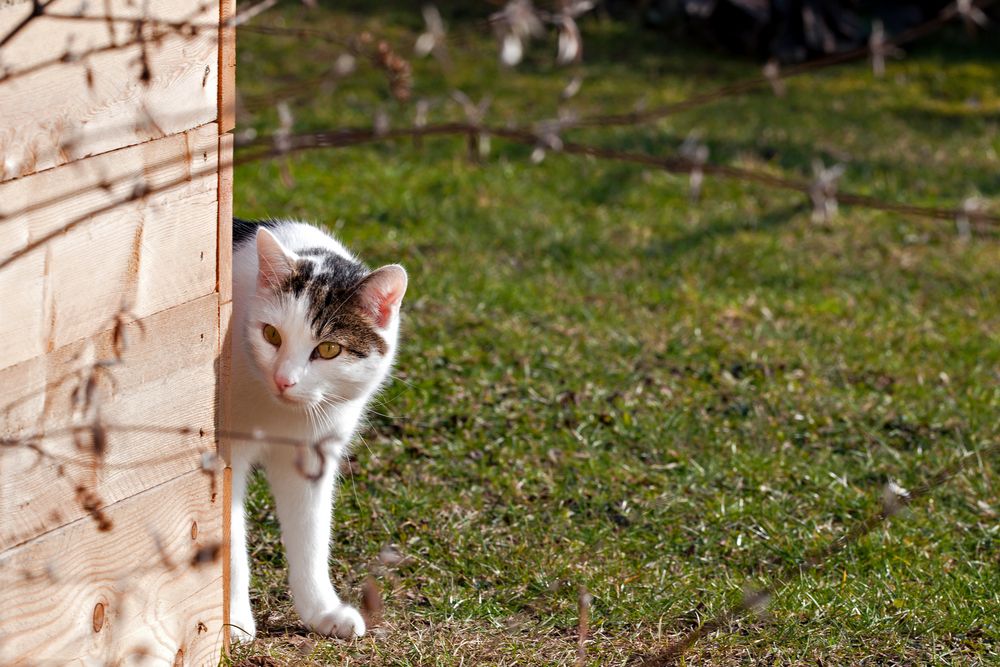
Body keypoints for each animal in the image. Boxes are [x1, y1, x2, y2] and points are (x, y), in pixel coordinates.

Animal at [229, 219, 406, 640]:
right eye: (271, 335)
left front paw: (321, 611)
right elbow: (228, 541)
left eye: (328, 350)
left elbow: (311, 535)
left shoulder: (312, 456)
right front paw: (235, 621)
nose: (284, 380)